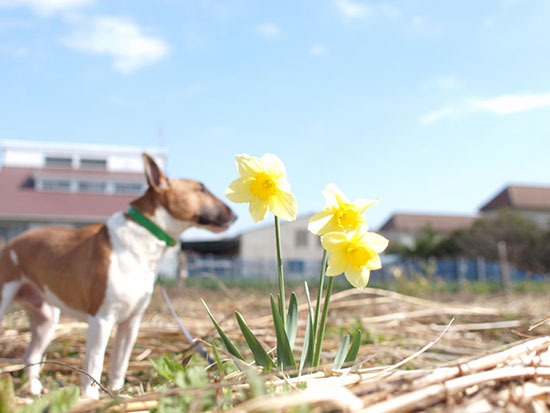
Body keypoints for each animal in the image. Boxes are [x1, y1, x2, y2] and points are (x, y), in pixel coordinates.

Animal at [0, 153, 235, 398]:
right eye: (201, 189)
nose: (235, 214)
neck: (147, 234)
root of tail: (12, 243)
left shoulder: (131, 324)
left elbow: (120, 362)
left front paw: (116, 392)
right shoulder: (102, 320)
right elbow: (95, 362)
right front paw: (90, 396)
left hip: (46, 320)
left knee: (32, 355)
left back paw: (34, 389)